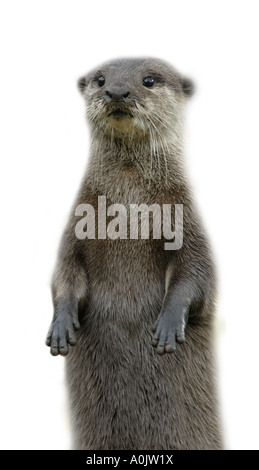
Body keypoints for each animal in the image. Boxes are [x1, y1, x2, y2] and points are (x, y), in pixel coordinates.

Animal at [46, 57, 223, 450]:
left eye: (149, 80)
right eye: (100, 79)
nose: (116, 91)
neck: (129, 212)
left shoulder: (187, 221)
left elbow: (198, 273)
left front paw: (169, 324)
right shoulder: (76, 226)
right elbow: (64, 270)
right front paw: (61, 324)